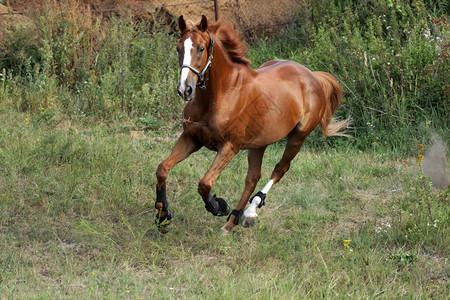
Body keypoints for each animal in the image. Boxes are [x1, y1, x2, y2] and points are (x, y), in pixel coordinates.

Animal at [156, 14, 352, 234]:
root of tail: (313, 76)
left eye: (200, 48)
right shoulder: (191, 138)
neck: (220, 94)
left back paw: (248, 212)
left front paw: (218, 206)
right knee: (252, 178)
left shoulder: (229, 147)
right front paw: (163, 217)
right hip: (259, 143)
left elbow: (204, 184)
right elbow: (162, 169)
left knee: (280, 169)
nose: (185, 90)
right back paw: (233, 221)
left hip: (298, 136)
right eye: (178, 48)